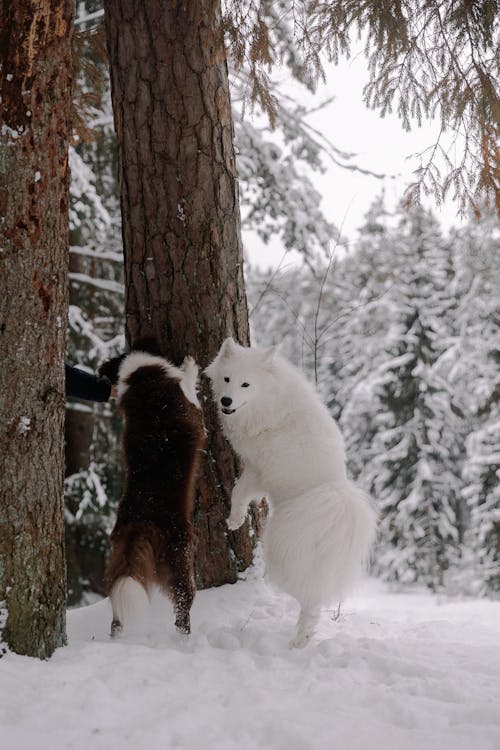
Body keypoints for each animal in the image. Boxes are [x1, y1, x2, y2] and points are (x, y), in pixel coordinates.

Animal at [99, 344, 205, 636]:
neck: (141, 378)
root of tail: (140, 524)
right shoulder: (192, 407)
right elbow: (190, 385)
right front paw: (190, 364)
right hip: (180, 559)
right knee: (182, 607)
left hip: (120, 564)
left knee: (117, 609)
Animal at [204, 340, 376, 648]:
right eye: (227, 379)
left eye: (246, 384)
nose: (225, 401)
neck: (270, 400)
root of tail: (335, 495)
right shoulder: (255, 468)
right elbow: (240, 491)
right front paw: (236, 520)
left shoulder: (259, 470)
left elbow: (238, 491)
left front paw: (233, 520)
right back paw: (304, 638)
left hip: (285, 553)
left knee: (309, 599)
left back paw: (298, 641)